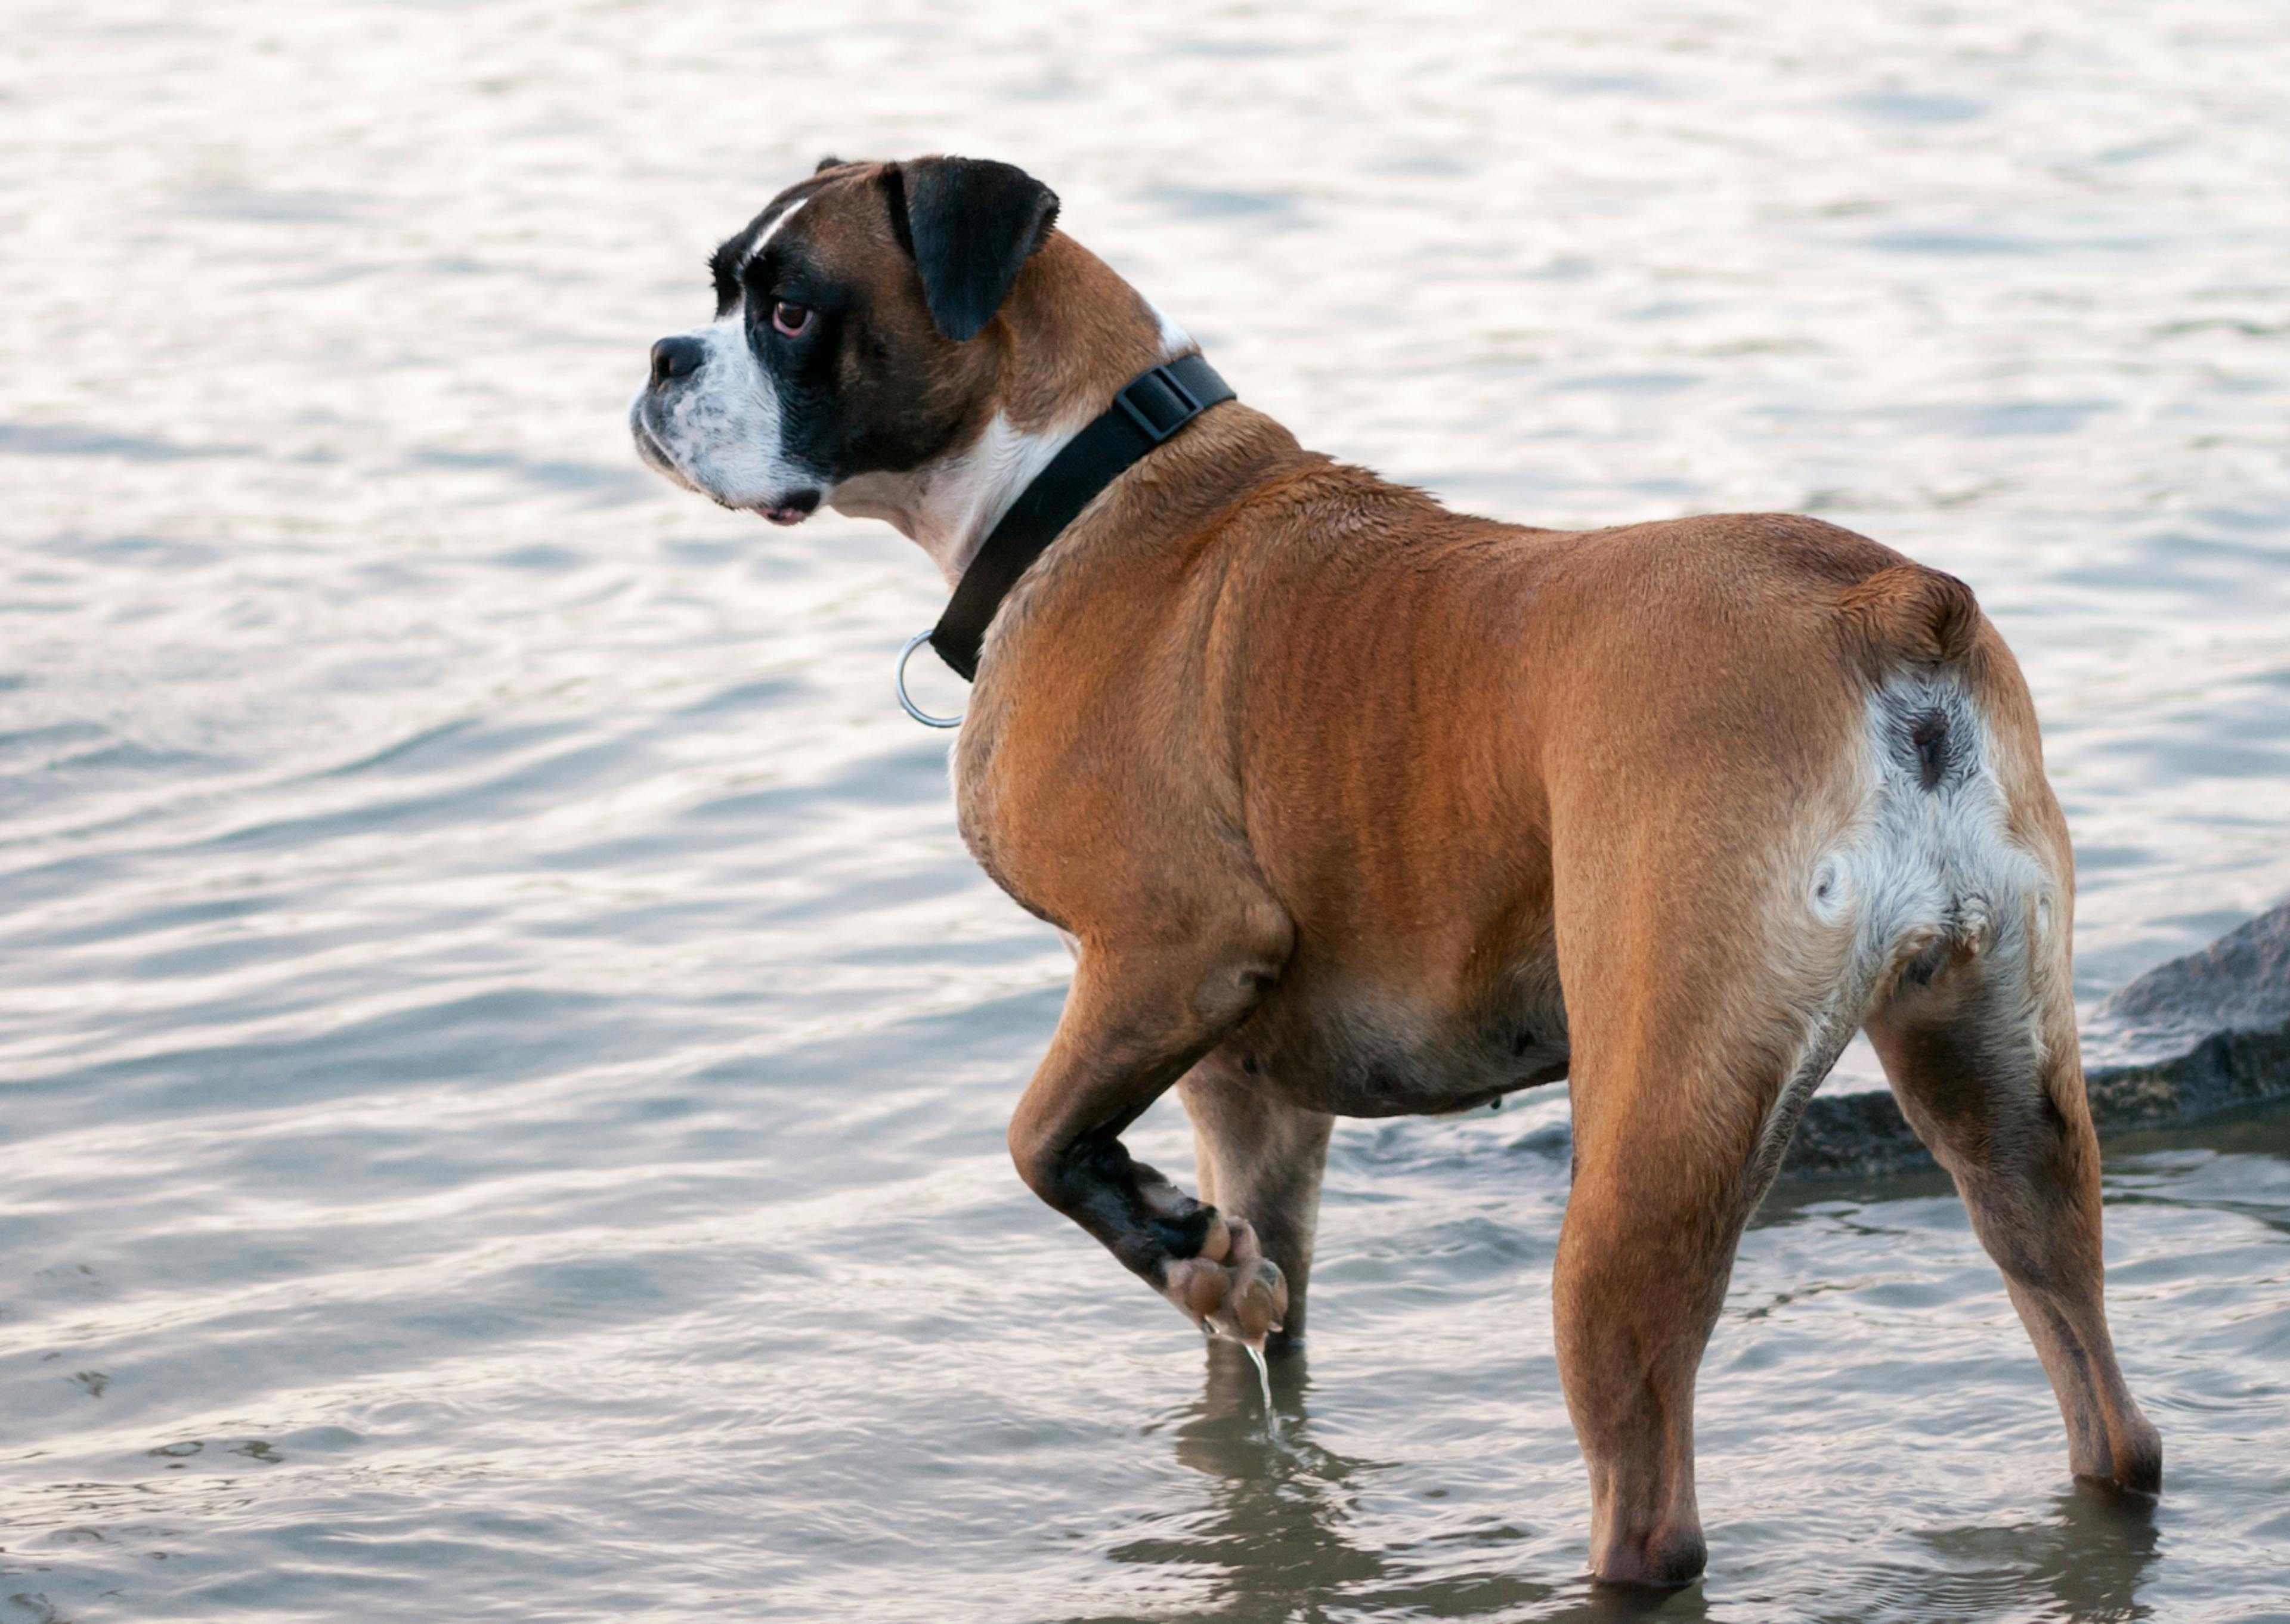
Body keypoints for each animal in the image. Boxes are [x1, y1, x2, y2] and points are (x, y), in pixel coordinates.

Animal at [632, 156, 2161, 1585]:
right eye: (721, 287)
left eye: (787, 310)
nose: (659, 361)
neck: (1084, 480)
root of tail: (1880, 608)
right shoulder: (1246, 1092)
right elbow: (1252, 1315)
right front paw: (1214, 1276)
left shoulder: (1173, 951)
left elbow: (1036, 1138)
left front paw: (1175, 1242)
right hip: (2003, 1105)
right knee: (2106, 1409)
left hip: (1644, 1159)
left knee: (1651, 1507)